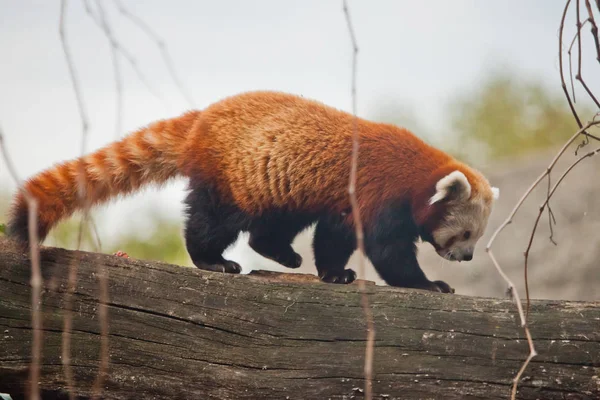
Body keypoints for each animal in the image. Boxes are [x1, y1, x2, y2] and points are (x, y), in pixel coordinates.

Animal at [7, 90, 500, 292]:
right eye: (465, 235)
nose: (466, 258)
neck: (417, 173)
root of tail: (202, 118)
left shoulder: (345, 202)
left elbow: (334, 236)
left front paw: (332, 273)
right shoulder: (378, 192)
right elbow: (387, 251)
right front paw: (428, 283)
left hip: (279, 185)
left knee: (270, 226)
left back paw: (283, 255)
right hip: (229, 178)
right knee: (213, 222)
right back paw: (212, 260)